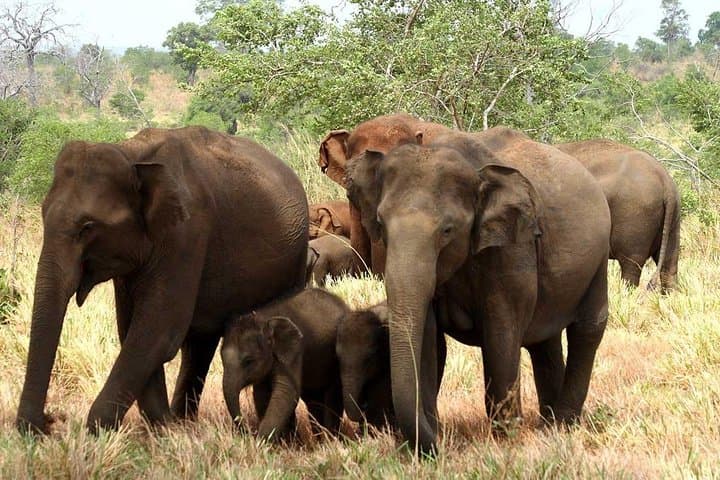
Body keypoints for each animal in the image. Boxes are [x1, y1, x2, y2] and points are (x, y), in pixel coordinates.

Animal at [16, 126, 309, 435]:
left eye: (87, 227)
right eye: (43, 214)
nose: (49, 421)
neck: (131, 153)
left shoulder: (186, 235)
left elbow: (157, 331)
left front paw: (100, 429)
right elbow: (133, 329)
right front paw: (163, 427)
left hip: (296, 262)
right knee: (199, 344)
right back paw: (183, 421)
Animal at [221, 288, 346, 440]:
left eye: (248, 361)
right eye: (221, 359)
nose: (248, 433)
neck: (263, 318)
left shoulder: (294, 351)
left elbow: (285, 392)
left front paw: (261, 442)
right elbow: (261, 395)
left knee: (332, 398)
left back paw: (331, 438)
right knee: (313, 400)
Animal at [346, 127, 611, 455]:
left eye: (447, 230)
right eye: (381, 223)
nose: (440, 446)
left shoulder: (511, 249)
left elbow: (501, 332)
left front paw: (508, 440)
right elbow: (428, 337)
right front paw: (432, 435)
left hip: (599, 258)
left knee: (587, 330)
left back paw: (563, 424)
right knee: (544, 341)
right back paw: (548, 425)